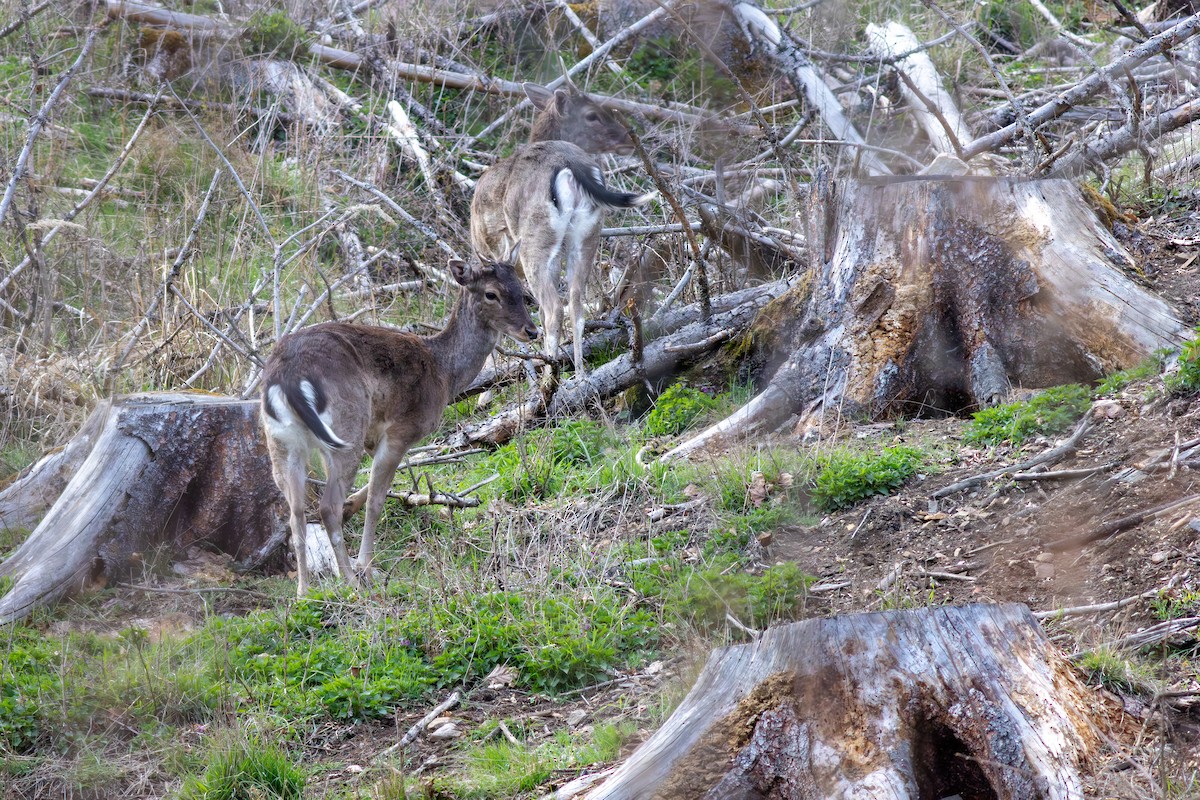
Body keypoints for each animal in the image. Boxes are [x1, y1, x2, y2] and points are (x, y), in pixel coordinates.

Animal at [260, 252, 537, 596]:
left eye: (521, 288)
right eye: (491, 294)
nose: (532, 331)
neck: (444, 374)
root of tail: (286, 377)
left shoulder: (374, 435)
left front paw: (354, 514)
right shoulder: (402, 429)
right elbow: (378, 499)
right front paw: (366, 566)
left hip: (282, 442)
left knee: (295, 512)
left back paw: (303, 591)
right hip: (345, 428)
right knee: (326, 507)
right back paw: (350, 581)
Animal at [470, 81, 654, 381]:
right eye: (592, 114)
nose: (628, 138)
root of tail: (573, 164)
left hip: (537, 242)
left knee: (553, 308)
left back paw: (550, 377)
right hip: (588, 234)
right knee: (576, 302)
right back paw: (580, 375)